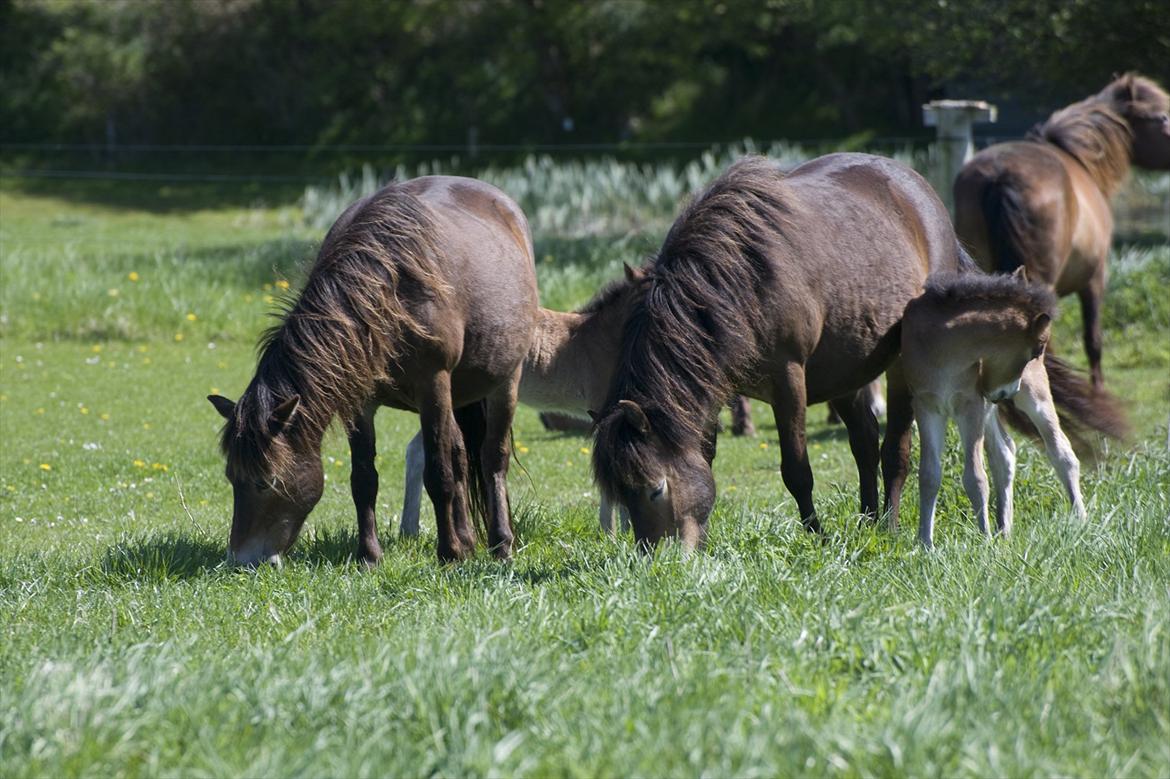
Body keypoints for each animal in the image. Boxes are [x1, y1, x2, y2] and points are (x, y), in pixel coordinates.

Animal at [210, 175, 538, 563]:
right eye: (232, 477)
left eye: (266, 481)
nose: (241, 560)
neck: (386, 294)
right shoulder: (360, 401)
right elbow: (364, 478)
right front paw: (369, 555)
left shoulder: (433, 385)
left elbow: (438, 474)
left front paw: (448, 553)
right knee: (460, 456)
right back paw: (468, 539)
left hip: (505, 382)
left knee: (492, 459)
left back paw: (500, 544)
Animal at [589, 153, 964, 545]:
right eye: (621, 495)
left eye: (656, 489)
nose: (658, 555)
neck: (733, 281)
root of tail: (920, 189)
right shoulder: (715, 387)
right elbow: (705, 459)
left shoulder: (788, 378)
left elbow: (796, 469)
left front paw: (816, 535)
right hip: (845, 367)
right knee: (864, 439)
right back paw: (869, 520)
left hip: (901, 362)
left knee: (895, 450)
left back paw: (889, 525)